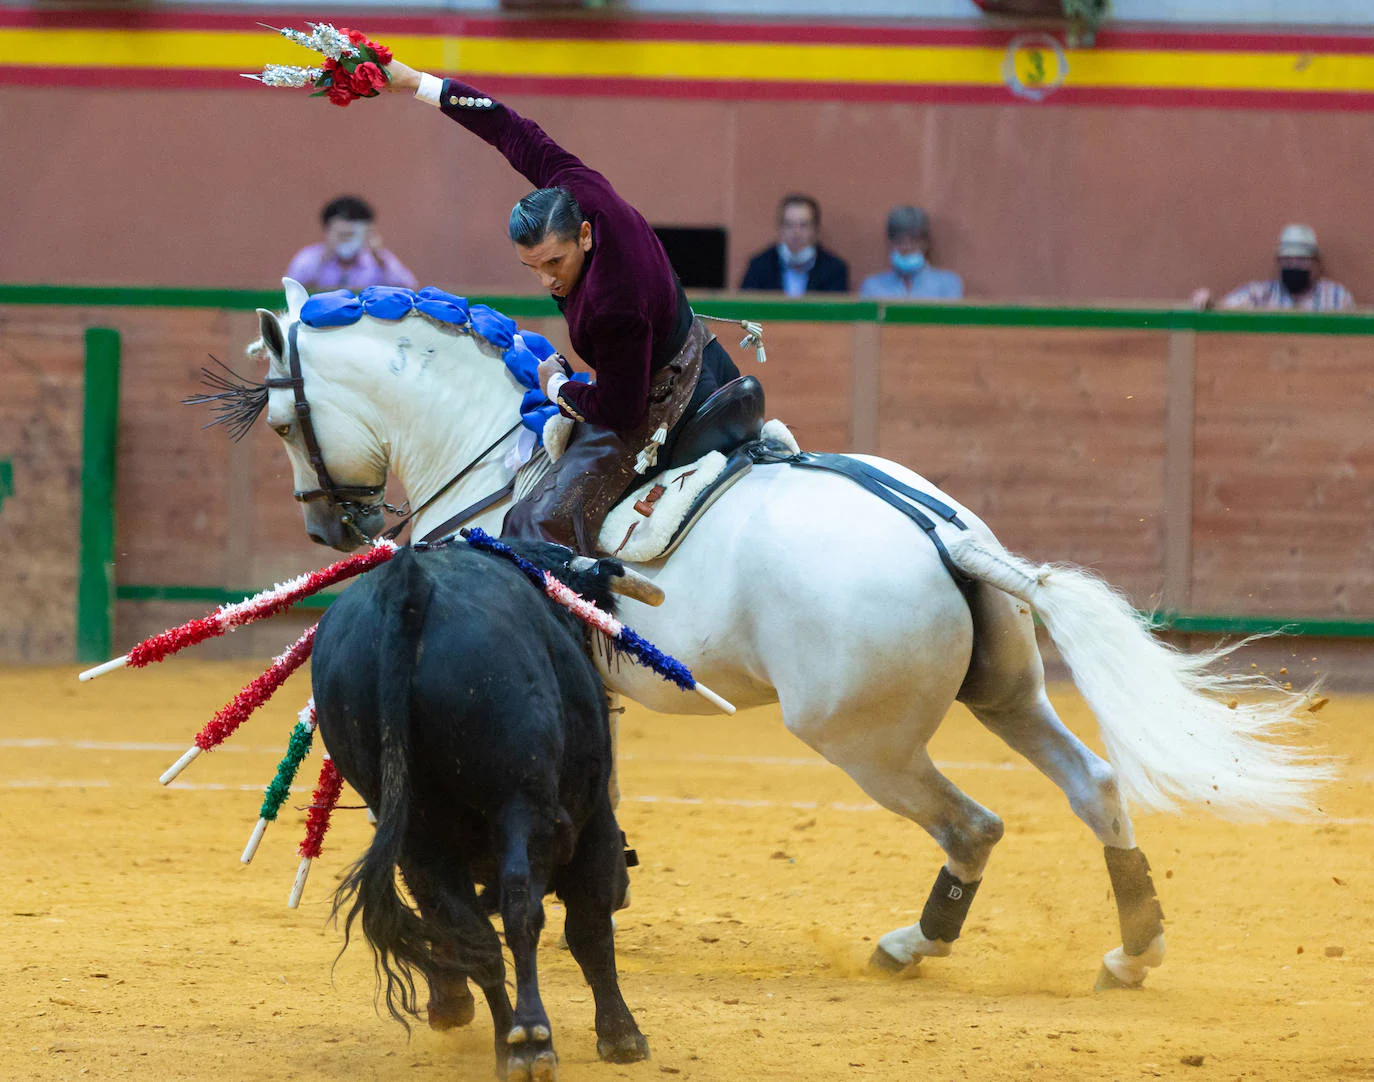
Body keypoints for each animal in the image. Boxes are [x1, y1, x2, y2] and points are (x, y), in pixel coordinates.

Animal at [252, 277, 1324, 989]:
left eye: (280, 425)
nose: (328, 526)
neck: (503, 457)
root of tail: (947, 537)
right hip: (1009, 693)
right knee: (1094, 784)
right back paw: (1134, 948)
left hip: (861, 740)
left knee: (972, 823)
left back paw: (913, 942)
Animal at [316, 547, 648, 1077]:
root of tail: (409, 586)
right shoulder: (593, 822)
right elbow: (590, 925)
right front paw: (622, 1036)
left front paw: (451, 1004)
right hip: (517, 800)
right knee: (519, 909)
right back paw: (532, 1040)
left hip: (416, 829)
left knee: (471, 931)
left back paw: (507, 1044)